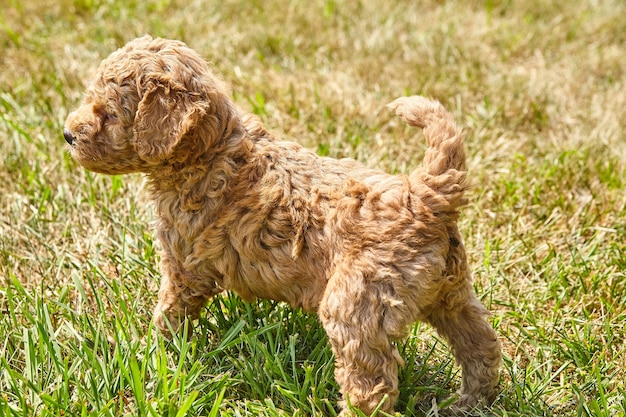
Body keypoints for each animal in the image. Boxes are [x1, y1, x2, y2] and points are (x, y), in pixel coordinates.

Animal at [63, 36, 500, 416]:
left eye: (108, 113)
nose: (67, 134)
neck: (209, 148)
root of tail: (422, 194)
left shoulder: (184, 262)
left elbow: (170, 310)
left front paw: (153, 349)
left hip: (356, 304)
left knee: (370, 385)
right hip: (451, 292)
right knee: (480, 344)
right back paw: (470, 403)